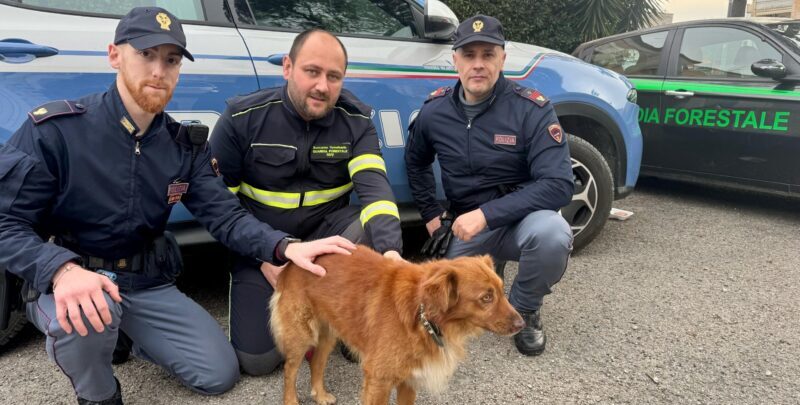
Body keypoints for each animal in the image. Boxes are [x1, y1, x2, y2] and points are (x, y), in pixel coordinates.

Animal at [272, 245, 528, 402]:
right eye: (486, 298)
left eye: (501, 290)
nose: (522, 324)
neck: (422, 315)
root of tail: (293, 262)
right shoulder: (378, 379)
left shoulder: (410, 379)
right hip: (301, 334)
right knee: (290, 370)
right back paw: (291, 400)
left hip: (329, 331)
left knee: (317, 361)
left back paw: (320, 395)